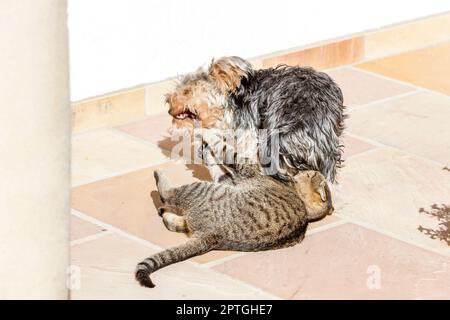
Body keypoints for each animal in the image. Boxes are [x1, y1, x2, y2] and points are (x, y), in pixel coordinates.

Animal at [135, 152, 332, 288]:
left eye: (310, 175)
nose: (303, 168)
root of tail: (212, 236)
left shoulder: (244, 172)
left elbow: (228, 153)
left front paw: (207, 138)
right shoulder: (230, 178)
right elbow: (218, 165)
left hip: (203, 189)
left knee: (169, 194)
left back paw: (159, 176)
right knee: (174, 220)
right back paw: (165, 211)